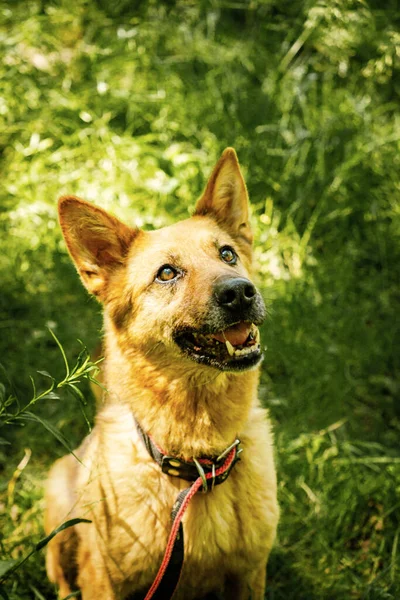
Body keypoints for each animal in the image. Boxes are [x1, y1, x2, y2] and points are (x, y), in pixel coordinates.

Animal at [45, 149, 278, 600]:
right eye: (167, 273)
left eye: (227, 254)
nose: (240, 292)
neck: (197, 468)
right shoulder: (104, 580)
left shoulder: (249, 574)